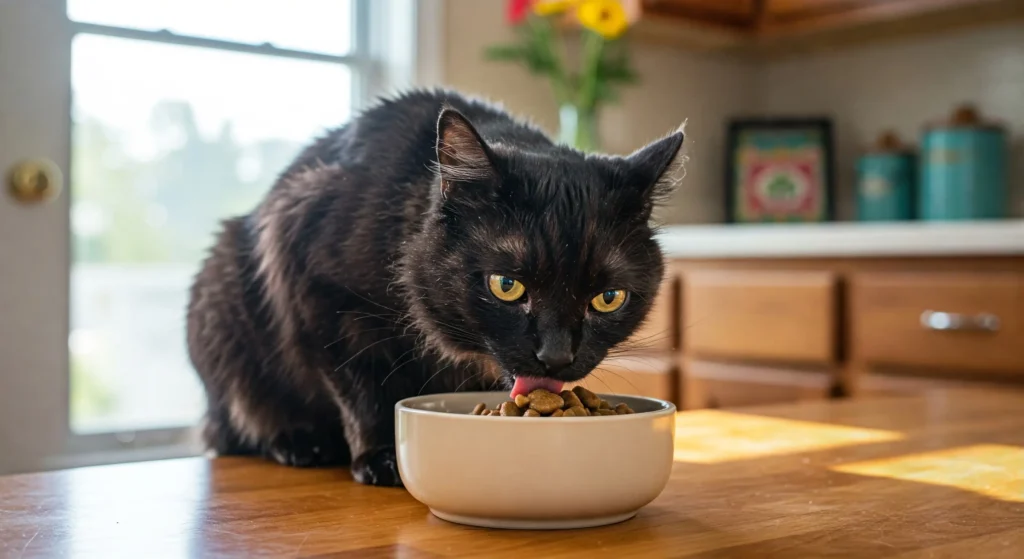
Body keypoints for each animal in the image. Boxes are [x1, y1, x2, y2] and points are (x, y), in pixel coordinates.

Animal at [188, 88, 688, 483]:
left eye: (608, 298)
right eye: (506, 285)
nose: (556, 356)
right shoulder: (317, 289)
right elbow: (361, 386)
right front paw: (380, 457)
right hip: (221, 291)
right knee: (239, 420)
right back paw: (299, 442)